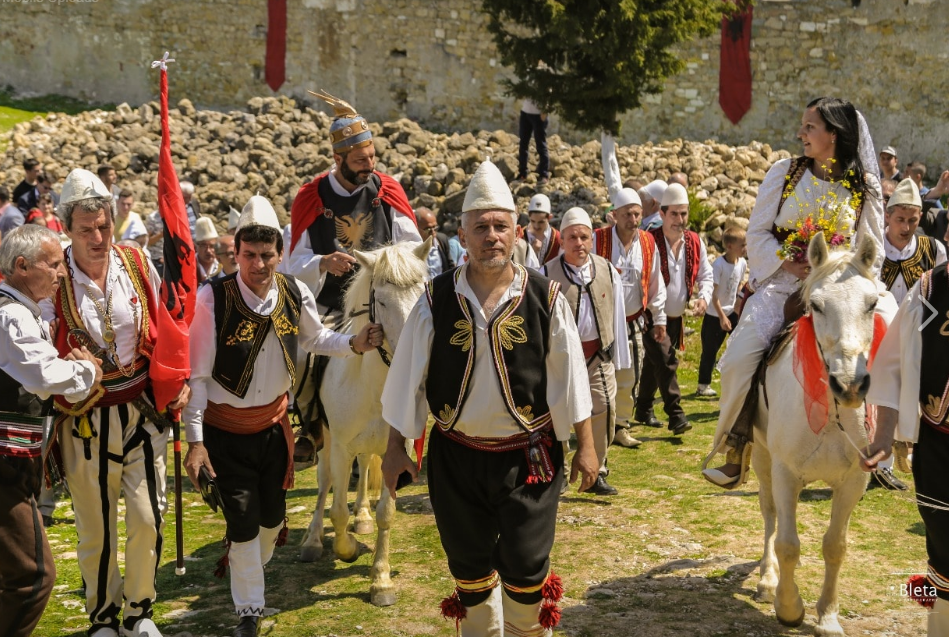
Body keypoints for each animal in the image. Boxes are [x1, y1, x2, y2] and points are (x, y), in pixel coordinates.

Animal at [297, 237, 431, 607]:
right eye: (381, 300)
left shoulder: (393, 452)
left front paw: (380, 580)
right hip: (327, 443)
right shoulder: (341, 447)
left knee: (363, 471)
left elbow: (386, 513)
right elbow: (336, 510)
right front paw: (347, 549)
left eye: (423, 293)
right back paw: (313, 540)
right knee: (325, 482)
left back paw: (363, 517)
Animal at [752, 232, 895, 637]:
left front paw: (828, 616)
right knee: (770, 514)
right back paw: (767, 580)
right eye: (815, 305)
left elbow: (835, 546)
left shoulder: (853, 481)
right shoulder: (785, 473)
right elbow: (787, 544)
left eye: (872, 303)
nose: (849, 385)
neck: (831, 412)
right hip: (761, 457)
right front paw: (789, 607)